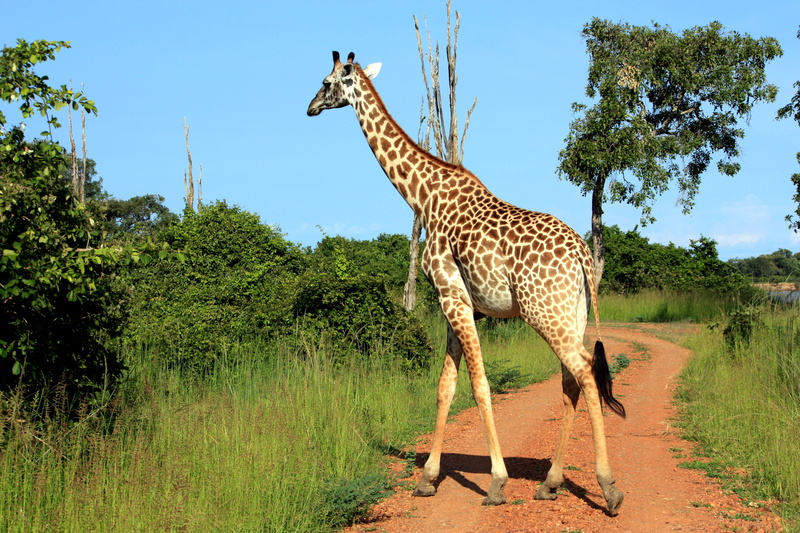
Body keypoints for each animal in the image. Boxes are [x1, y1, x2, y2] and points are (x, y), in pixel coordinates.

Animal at [307, 51, 626, 516]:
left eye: (327, 82)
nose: (309, 107)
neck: (422, 195)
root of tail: (584, 256)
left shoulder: (451, 295)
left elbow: (479, 386)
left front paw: (495, 483)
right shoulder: (457, 301)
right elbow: (445, 386)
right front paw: (427, 479)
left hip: (544, 311)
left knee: (584, 372)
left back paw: (608, 488)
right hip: (572, 313)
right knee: (571, 378)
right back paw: (550, 483)